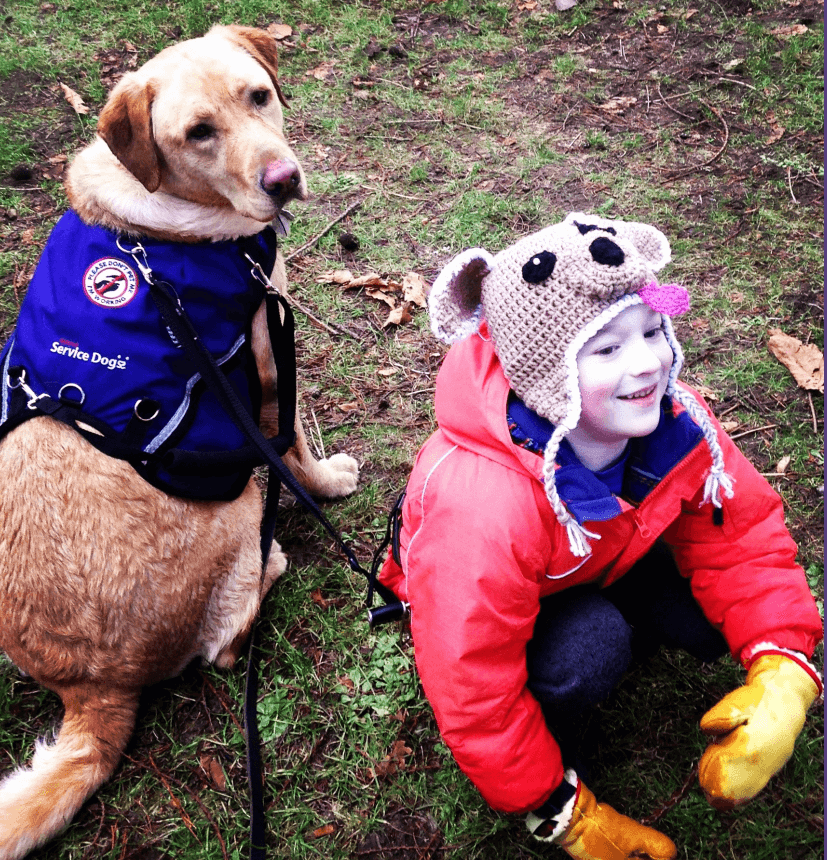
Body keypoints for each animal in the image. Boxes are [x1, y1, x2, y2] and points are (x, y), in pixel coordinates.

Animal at [0, 23, 356, 856]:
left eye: (259, 96)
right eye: (198, 133)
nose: (283, 180)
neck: (163, 220)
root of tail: (92, 689)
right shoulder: (265, 358)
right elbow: (296, 451)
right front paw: (329, 482)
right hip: (237, 511)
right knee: (224, 646)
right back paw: (271, 568)